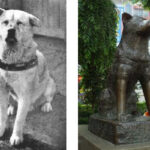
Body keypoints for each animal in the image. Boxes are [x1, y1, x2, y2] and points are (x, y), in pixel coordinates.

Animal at [0, 8, 56, 145]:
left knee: (47, 98)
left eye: (19, 23)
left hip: (50, 84)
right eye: (5, 22)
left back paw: (45, 105)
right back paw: (11, 107)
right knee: (12, 102)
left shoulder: (25, 94)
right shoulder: (2, 90)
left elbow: (19, 120)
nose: (11, 30)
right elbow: (2, 115)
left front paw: (16, 137)